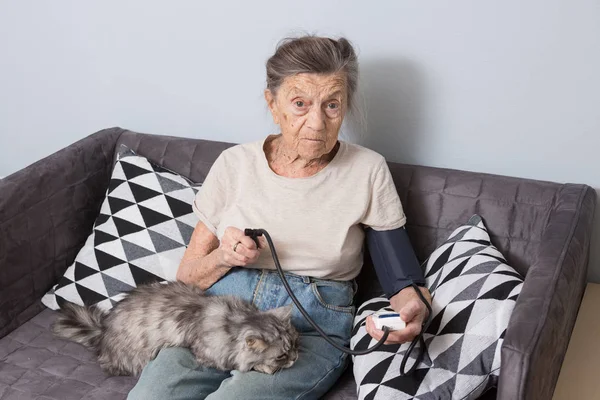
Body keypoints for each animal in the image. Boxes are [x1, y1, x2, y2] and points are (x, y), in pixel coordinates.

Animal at [52, 282, 300, 376]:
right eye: (281, 355)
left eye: (296, 343)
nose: (295, 357)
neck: (236, 320)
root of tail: (102, 330)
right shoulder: (207, 353)